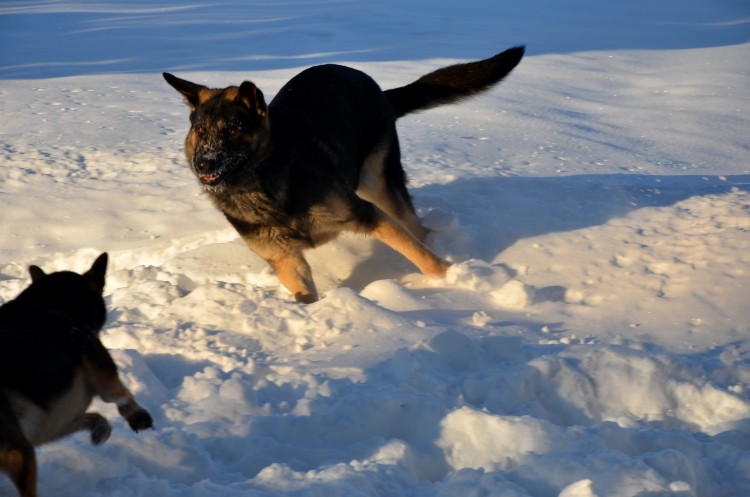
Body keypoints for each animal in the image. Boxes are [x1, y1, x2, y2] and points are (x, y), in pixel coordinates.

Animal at [0, 254, 153, 494]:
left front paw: (100, 429)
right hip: (20, 450)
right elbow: (119, 395)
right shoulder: (98, 364)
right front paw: (138, 416)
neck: (51, 302)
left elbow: (94, 417)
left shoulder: (49, 425)